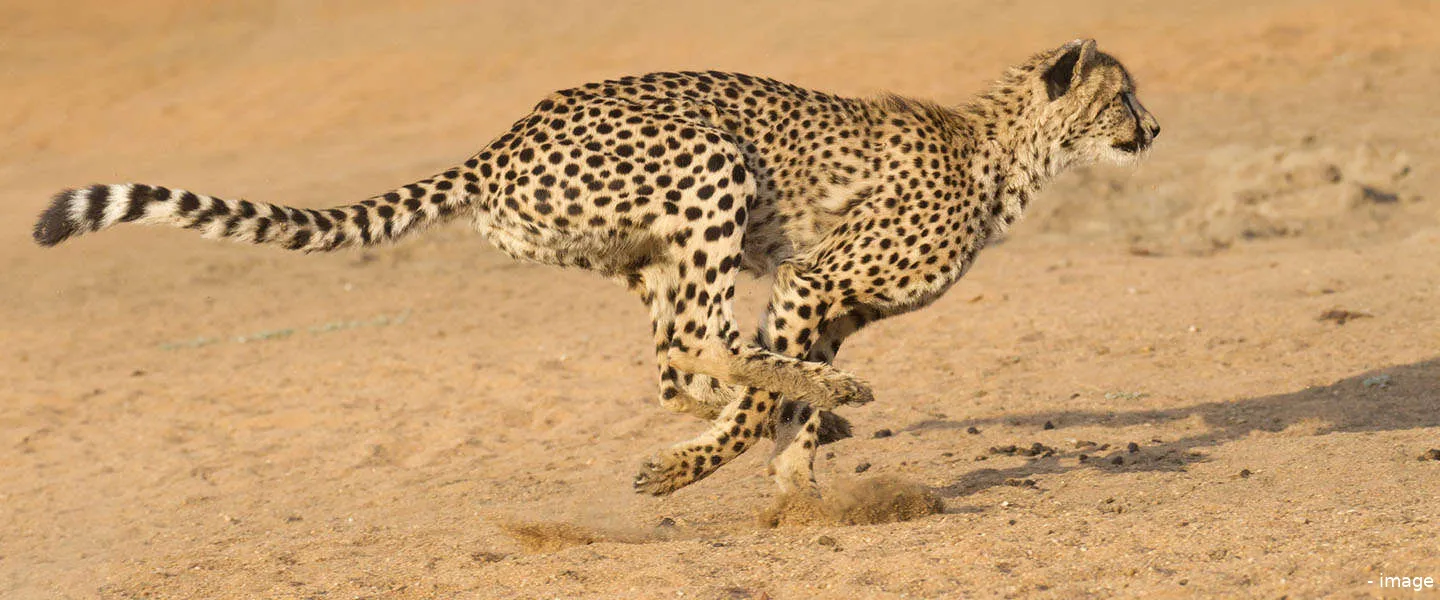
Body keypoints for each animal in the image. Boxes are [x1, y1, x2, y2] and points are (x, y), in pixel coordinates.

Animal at [32, 39, 1158, 501]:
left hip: (649, 249)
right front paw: (722, 468)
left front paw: (798, 479)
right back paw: (790, 411)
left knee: (673, 360)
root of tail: (502, 139)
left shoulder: (827, 303)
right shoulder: (811, 285)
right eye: (1122, 97)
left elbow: (773, 401)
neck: (1008, 152)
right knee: (699, 342)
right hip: (710, 170)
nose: (1154, 128)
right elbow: (769, 394)